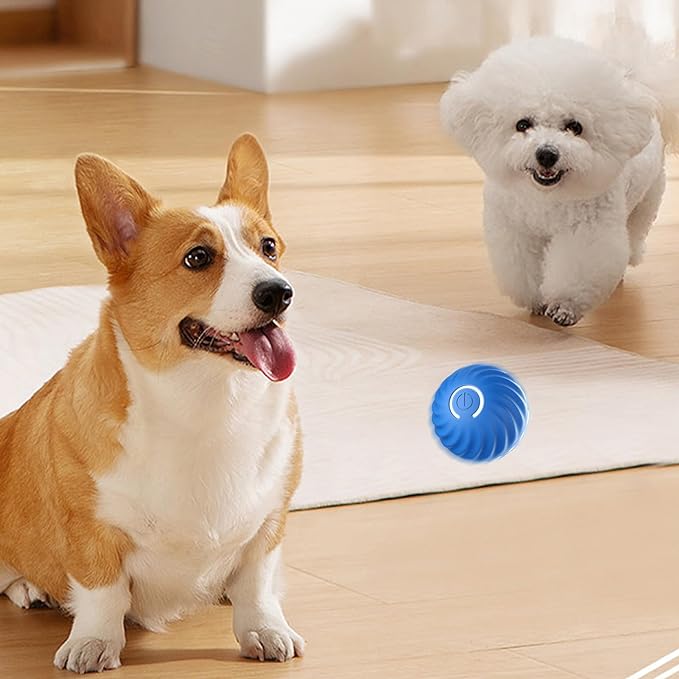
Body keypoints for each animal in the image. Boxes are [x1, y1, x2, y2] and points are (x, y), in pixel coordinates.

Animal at [0, 134, 306, 676]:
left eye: (269, 247)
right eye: (198, 257)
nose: (280, 293)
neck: (207, 405)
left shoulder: (268, 523)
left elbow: (257, 585)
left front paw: (265, 631)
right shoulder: (93, 531)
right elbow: (101, 593)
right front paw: (93, 644)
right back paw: (30, 587)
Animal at [440, 34, 679, 326]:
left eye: (574, 127)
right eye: (523, 124)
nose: (546, 154)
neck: (546, 198)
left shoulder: (587, 231)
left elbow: (576, 271)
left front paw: (564, 307)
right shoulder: (517, 230)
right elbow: (523, 269)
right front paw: (536, 301)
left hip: (646, 201)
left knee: (633, 235)